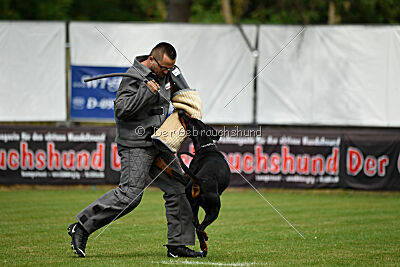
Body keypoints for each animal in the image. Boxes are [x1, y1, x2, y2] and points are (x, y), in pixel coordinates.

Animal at [177, 110, 230, 255]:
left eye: (191, 119)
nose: (181, 111)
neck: (206, 147)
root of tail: (199, 181)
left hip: (193, 205)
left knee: (196, 223)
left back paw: (203, 243)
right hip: (214, 209)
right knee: (200, 227)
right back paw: (204, 247)